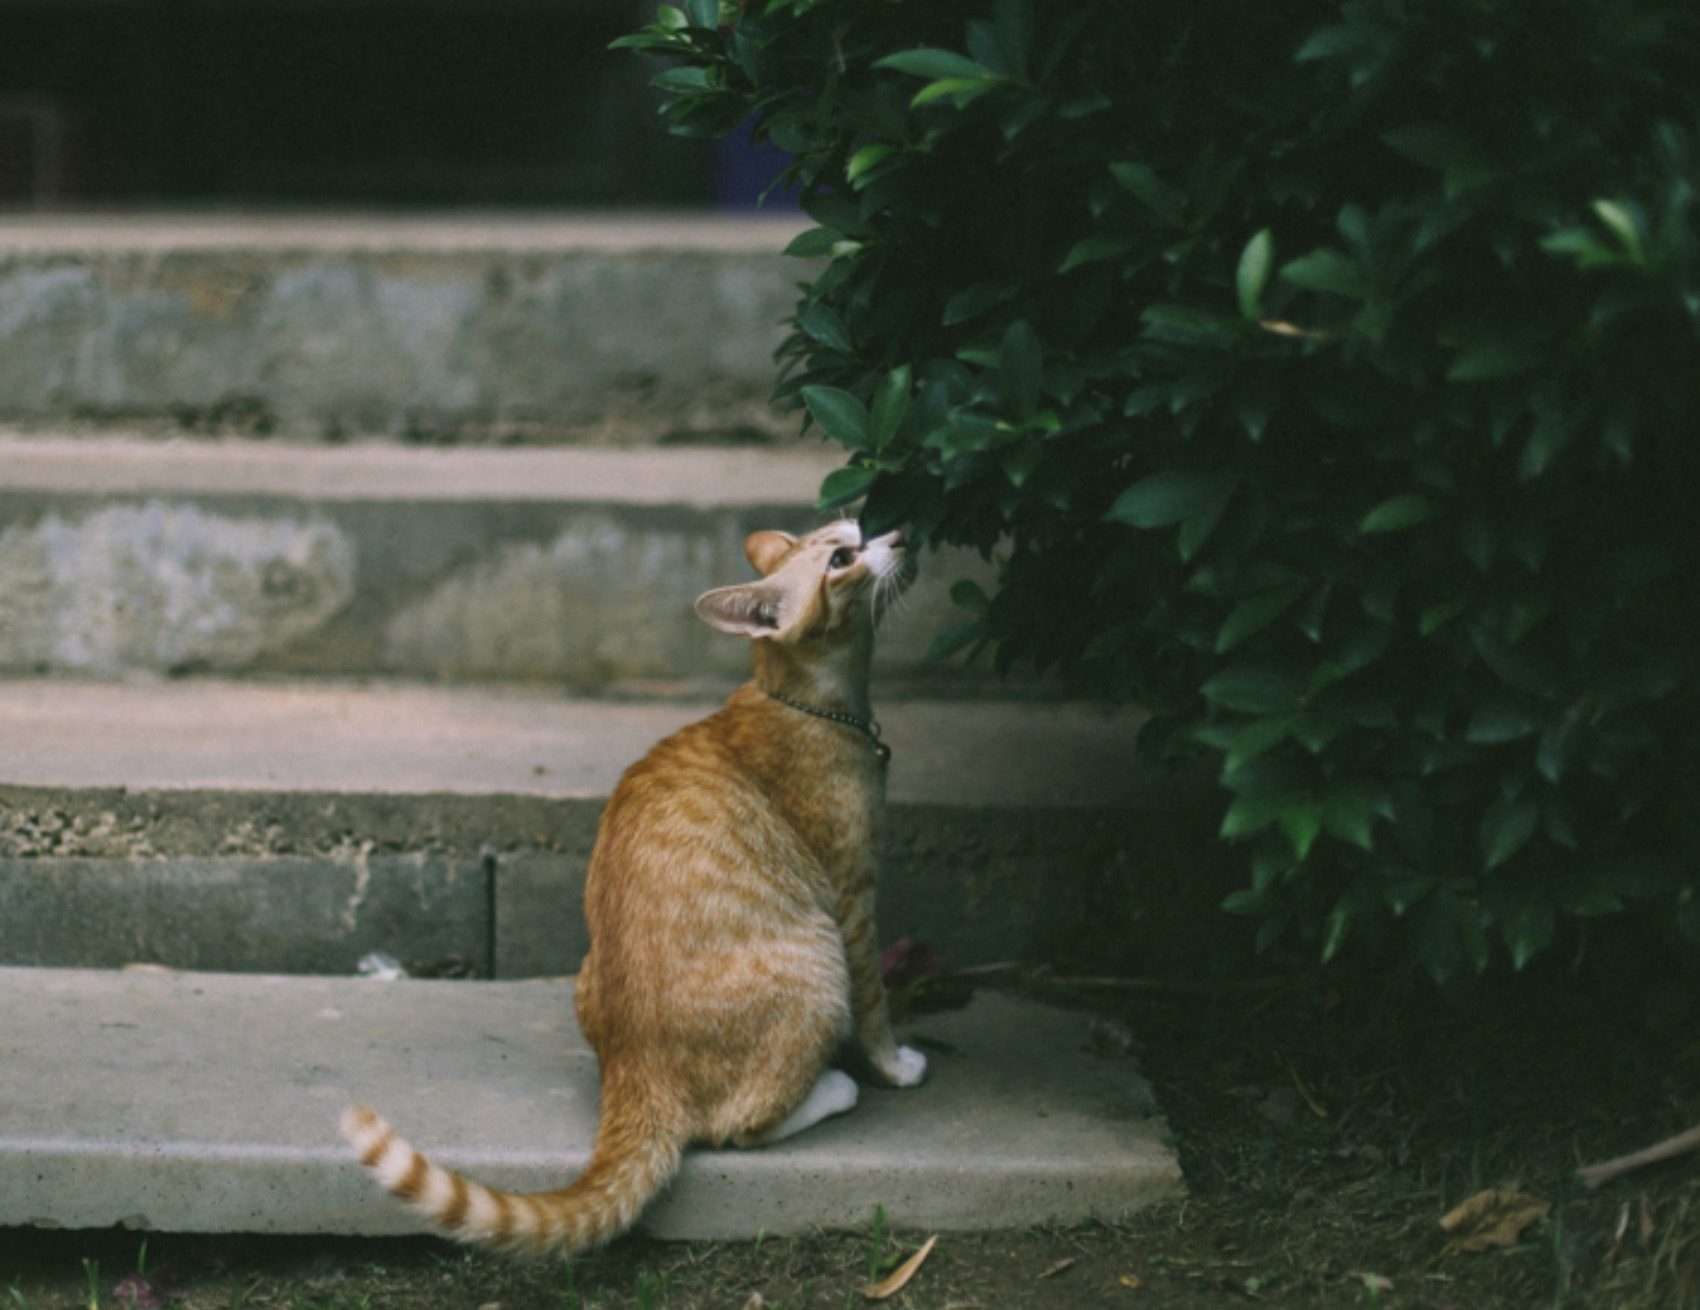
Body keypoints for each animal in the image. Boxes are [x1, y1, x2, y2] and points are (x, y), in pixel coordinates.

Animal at [343, 523, 924, 1257]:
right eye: (844, 559)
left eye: (860, 528)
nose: (901, 533)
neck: (812, 701)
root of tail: (635, 1071)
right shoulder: (852, 898)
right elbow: (876, 1004)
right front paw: (893, 1066)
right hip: (818, 963)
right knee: (739, 1127)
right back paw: (835, 1087)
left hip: (587, 971)